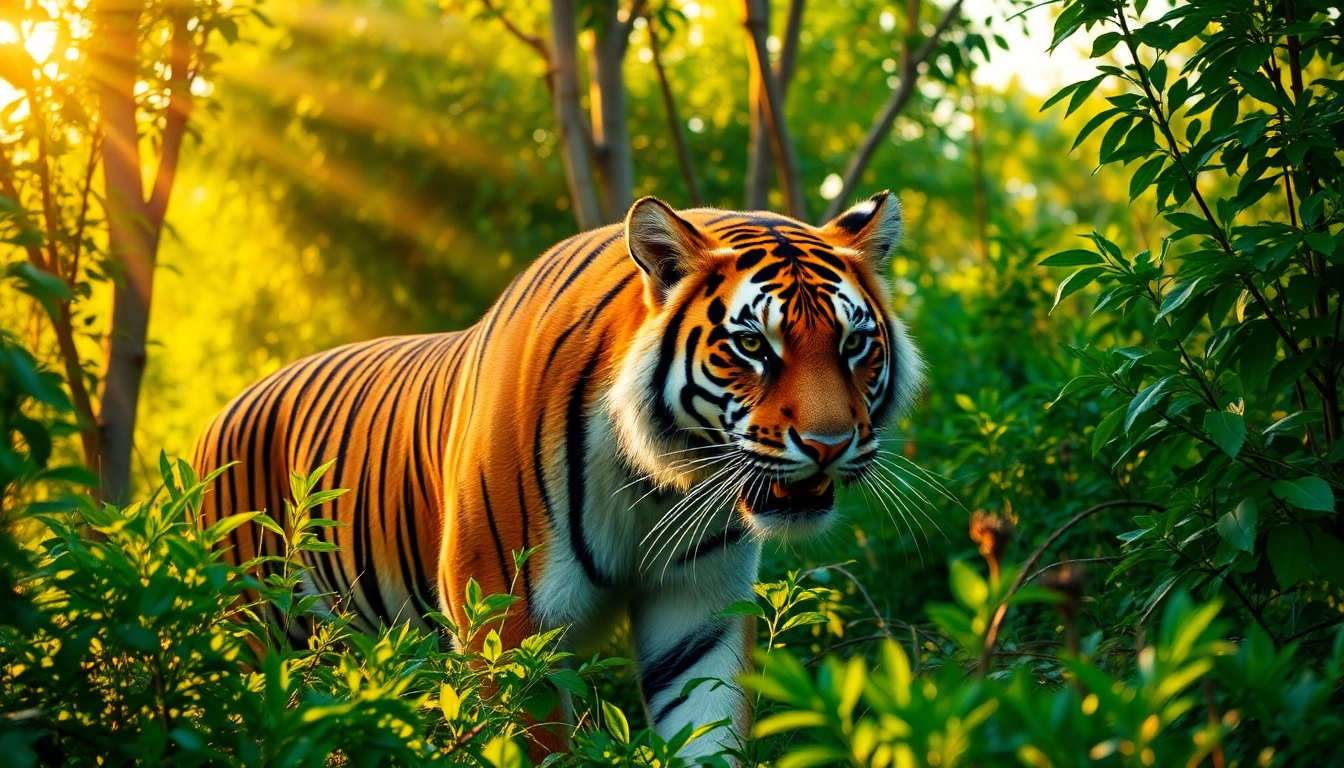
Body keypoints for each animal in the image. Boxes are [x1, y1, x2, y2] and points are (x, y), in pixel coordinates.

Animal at [192, 191, 923, 757]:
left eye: (854, 344)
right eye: (752, 346)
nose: (828, 445)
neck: (653, 482)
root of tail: (218, 416)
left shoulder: (699, 610)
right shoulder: (504, 621)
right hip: (254, 634)